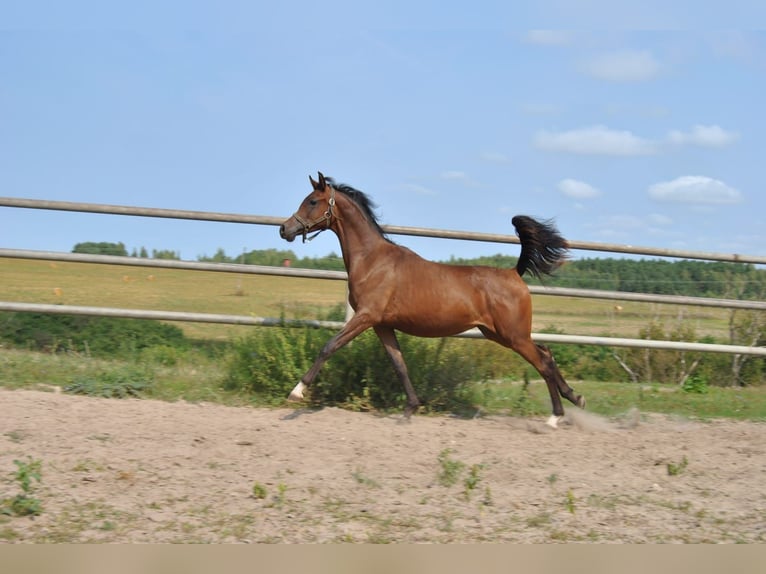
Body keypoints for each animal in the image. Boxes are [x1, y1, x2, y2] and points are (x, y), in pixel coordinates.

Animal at [282, 171, 588, 428]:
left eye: (312, 201)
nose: (284, 230)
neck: (372, 261)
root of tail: (514, 272)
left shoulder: (366, 316)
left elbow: (329, 346)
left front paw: (297, 392)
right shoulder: (382, 324)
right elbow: (399, 365)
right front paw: (409, 410)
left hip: (513, 335)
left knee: (543, 361)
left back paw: (555, 416)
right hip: (497, 333)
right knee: (546, 353)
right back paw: (575, 399)